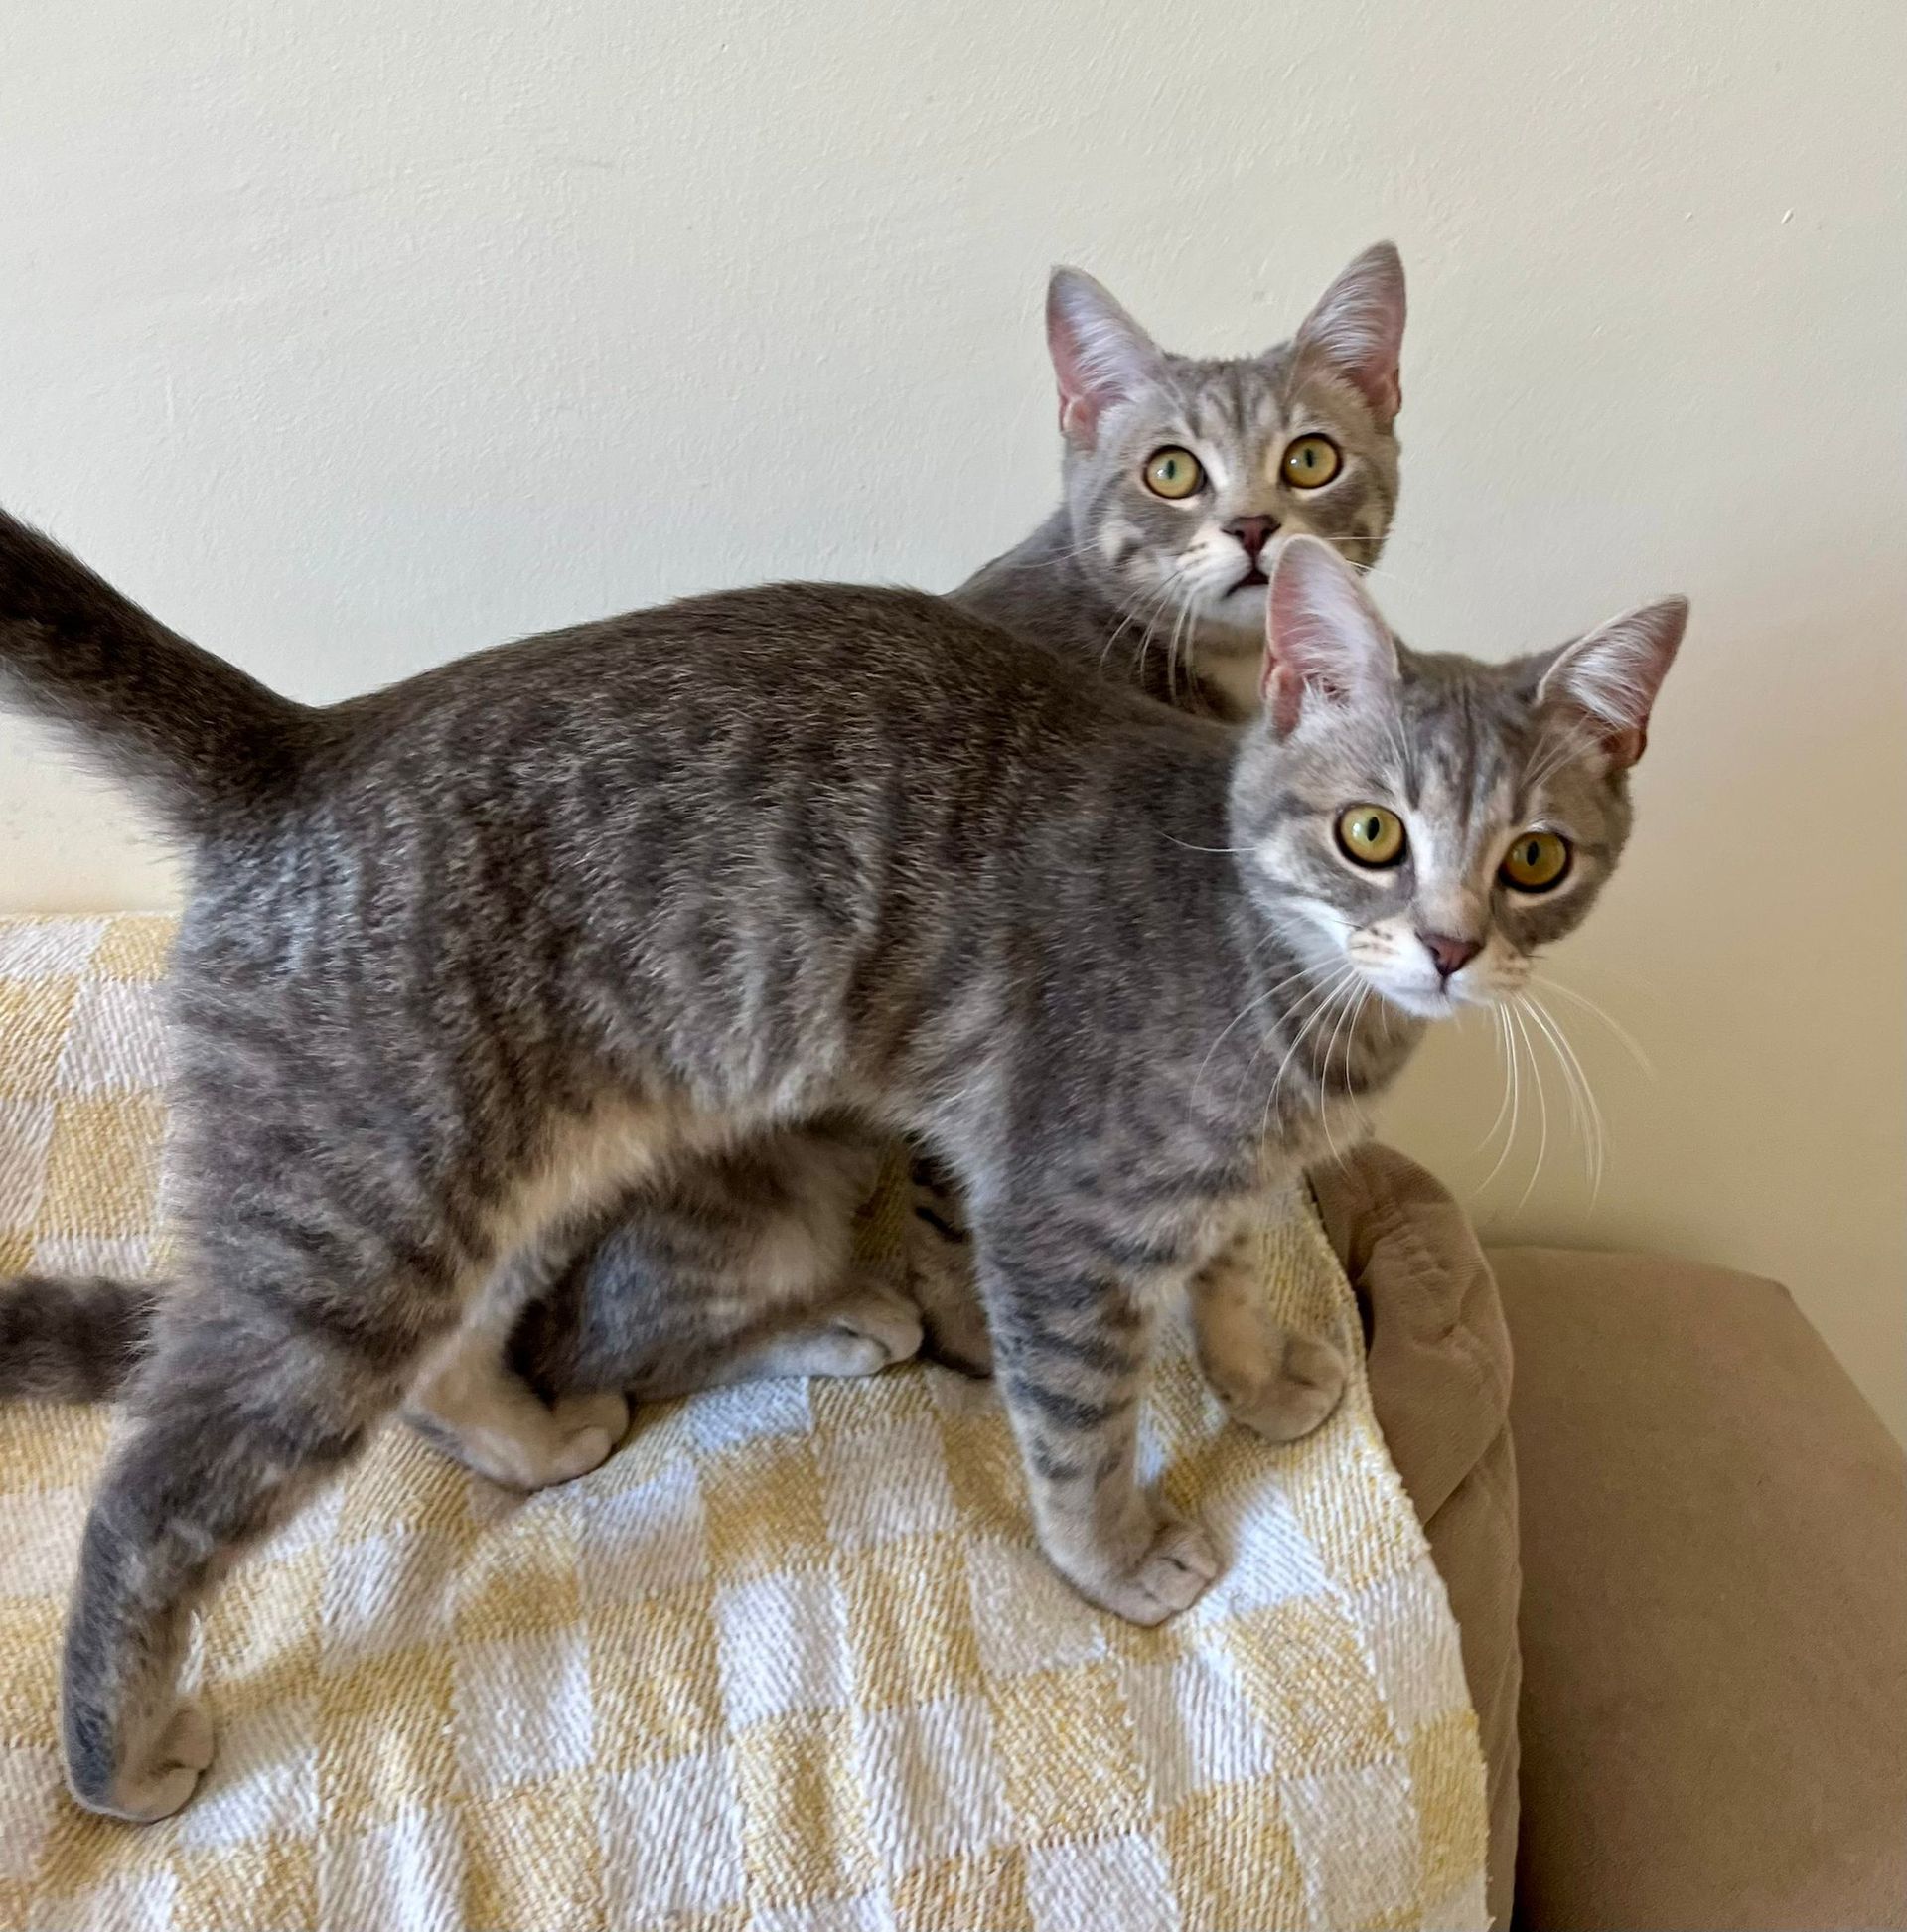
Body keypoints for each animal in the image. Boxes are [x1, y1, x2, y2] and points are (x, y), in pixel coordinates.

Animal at [0, 244, 1410, 1454]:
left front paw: (1249, 1365)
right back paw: (791, 1341)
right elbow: (992, 1221)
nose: (1257, 530)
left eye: (1313, 458)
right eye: (1172, 471)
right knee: (581, 1351)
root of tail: (314, 744)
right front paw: (1000, 1339)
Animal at [0, 502, 1684, 1818]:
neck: (1293, 1009)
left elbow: (1223, 1285)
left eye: (1537, 859)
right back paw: (118, 1762)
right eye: (1371, 834)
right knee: (155, 1494)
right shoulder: (1061, 1215)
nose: (1452, 946)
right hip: (365, 1214)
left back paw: (542, 1438)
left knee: (469, 1363)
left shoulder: (1194, 1189)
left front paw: (1263, 1375)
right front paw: (1116, 1558)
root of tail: (309, 740)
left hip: (492, 1187)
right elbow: (1080, 1425)